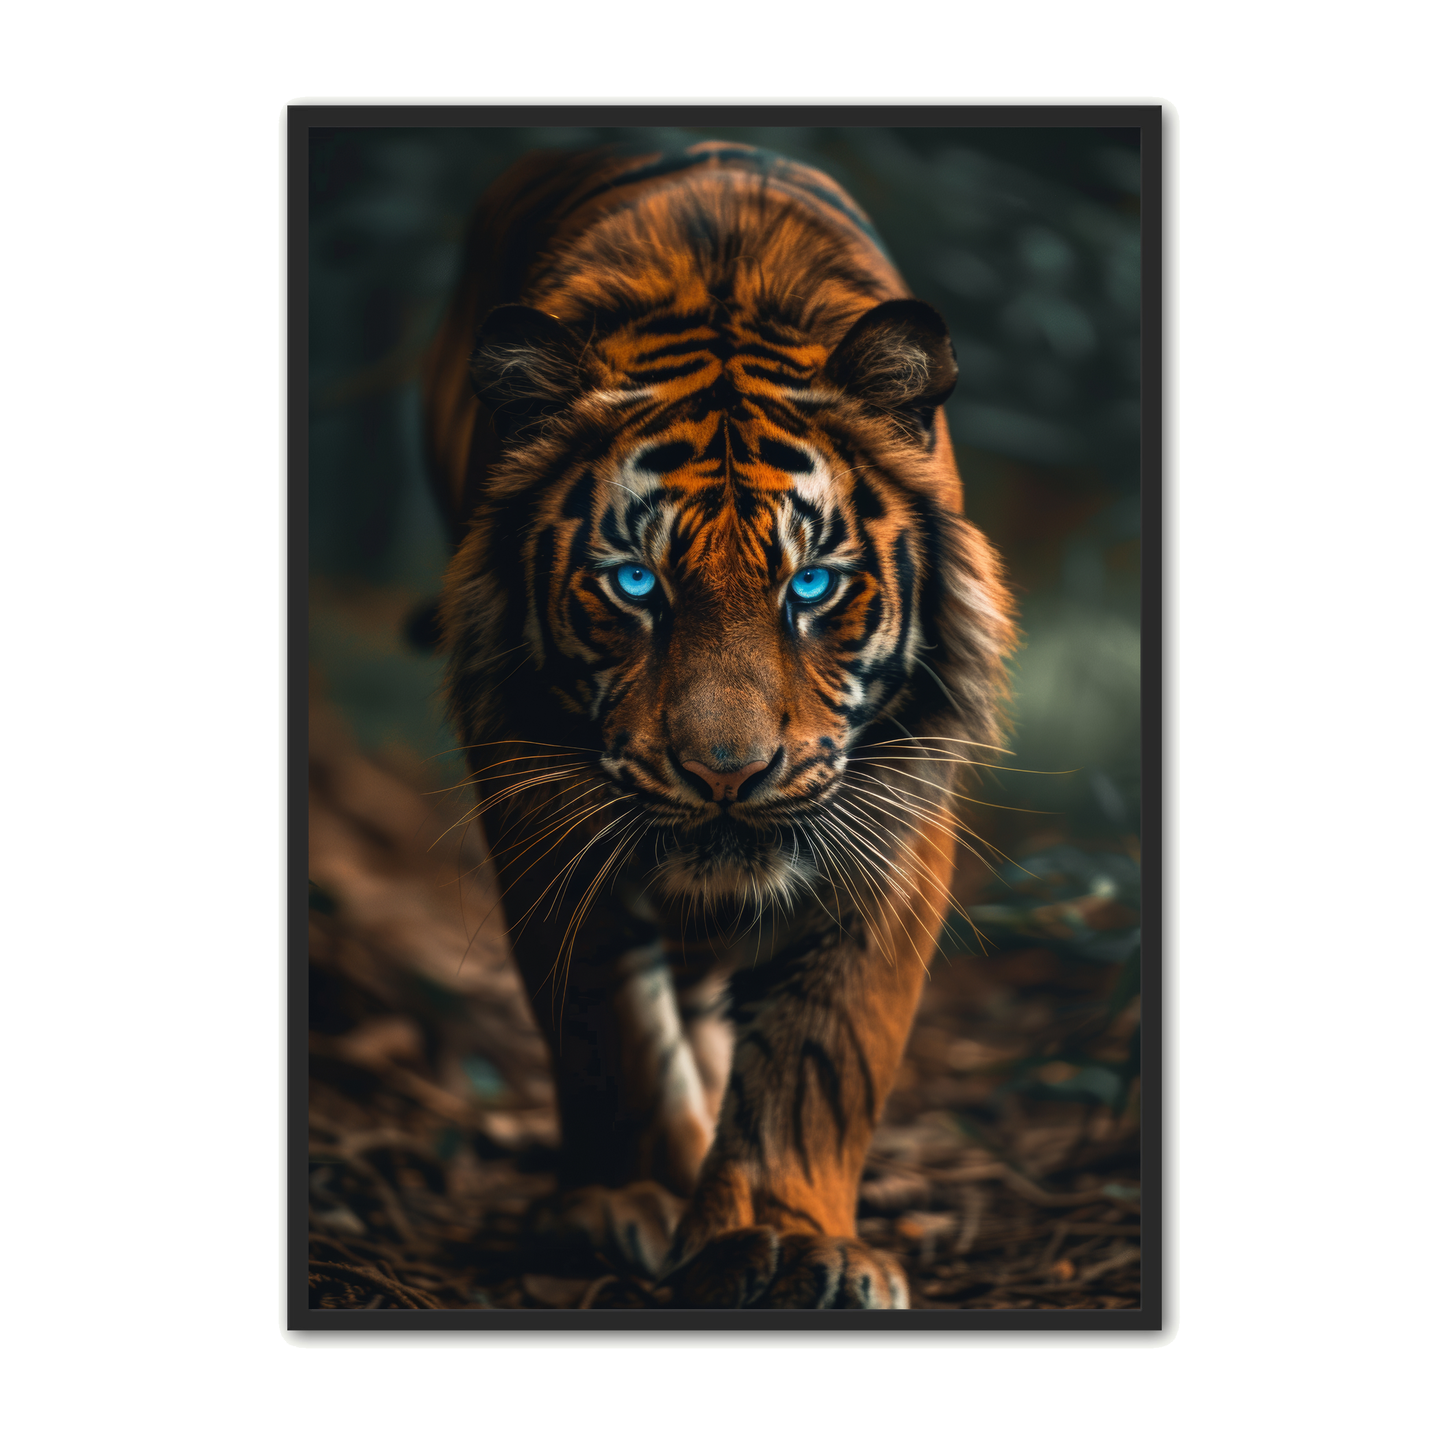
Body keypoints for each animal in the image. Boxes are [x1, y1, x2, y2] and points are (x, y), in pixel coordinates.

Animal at [420, 140, 1015, 1308]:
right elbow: (608, 1026)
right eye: (635, 583)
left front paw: (782, 1237)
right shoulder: (542, 812)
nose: (727, 773)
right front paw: (634, 1200)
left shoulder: (891, 820)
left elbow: (822, 1047)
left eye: (812, 584)